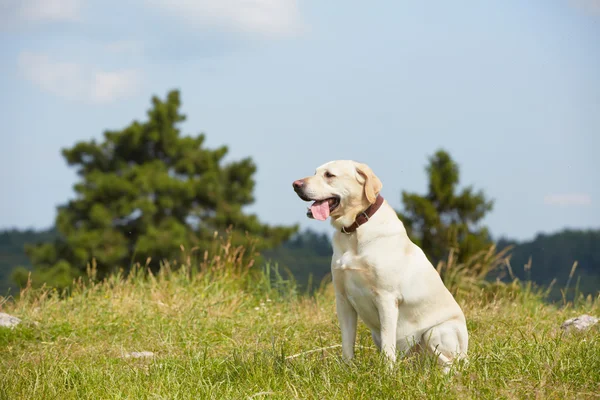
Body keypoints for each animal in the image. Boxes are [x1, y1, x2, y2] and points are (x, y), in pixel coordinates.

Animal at [292, 159, 468, 372]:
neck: (354, 230)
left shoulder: (386, 298)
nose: (295, 185)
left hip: (435, 332)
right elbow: (347, 342)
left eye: (329, 175)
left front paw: (387, 373)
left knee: (451, 365)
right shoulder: (342, 299)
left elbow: (388, 344)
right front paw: (347, 370)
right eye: (315, 172)